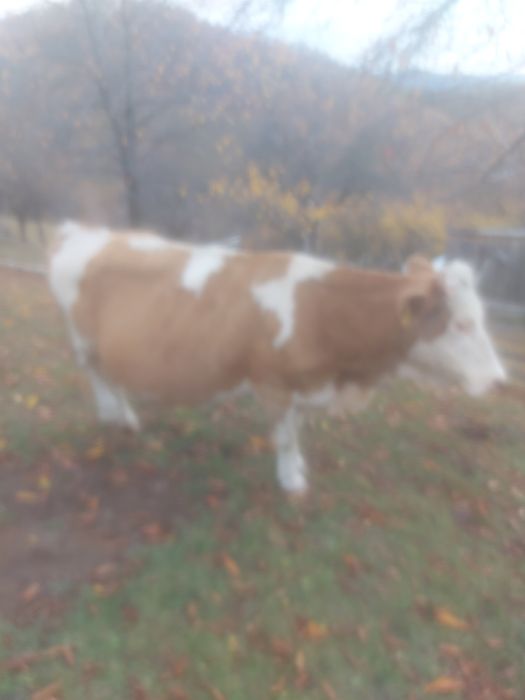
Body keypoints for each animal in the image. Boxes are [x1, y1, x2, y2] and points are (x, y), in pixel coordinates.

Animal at [48, 222, 506, 494]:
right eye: (462, 324)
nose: (501, 380)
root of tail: (87, 231)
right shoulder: (272, 382)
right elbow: (285, 436)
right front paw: (291, 482)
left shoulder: (302, 385)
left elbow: (296, 429)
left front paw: (298, 468)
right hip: (83, 340)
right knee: (97, 376)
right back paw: (118, 416)